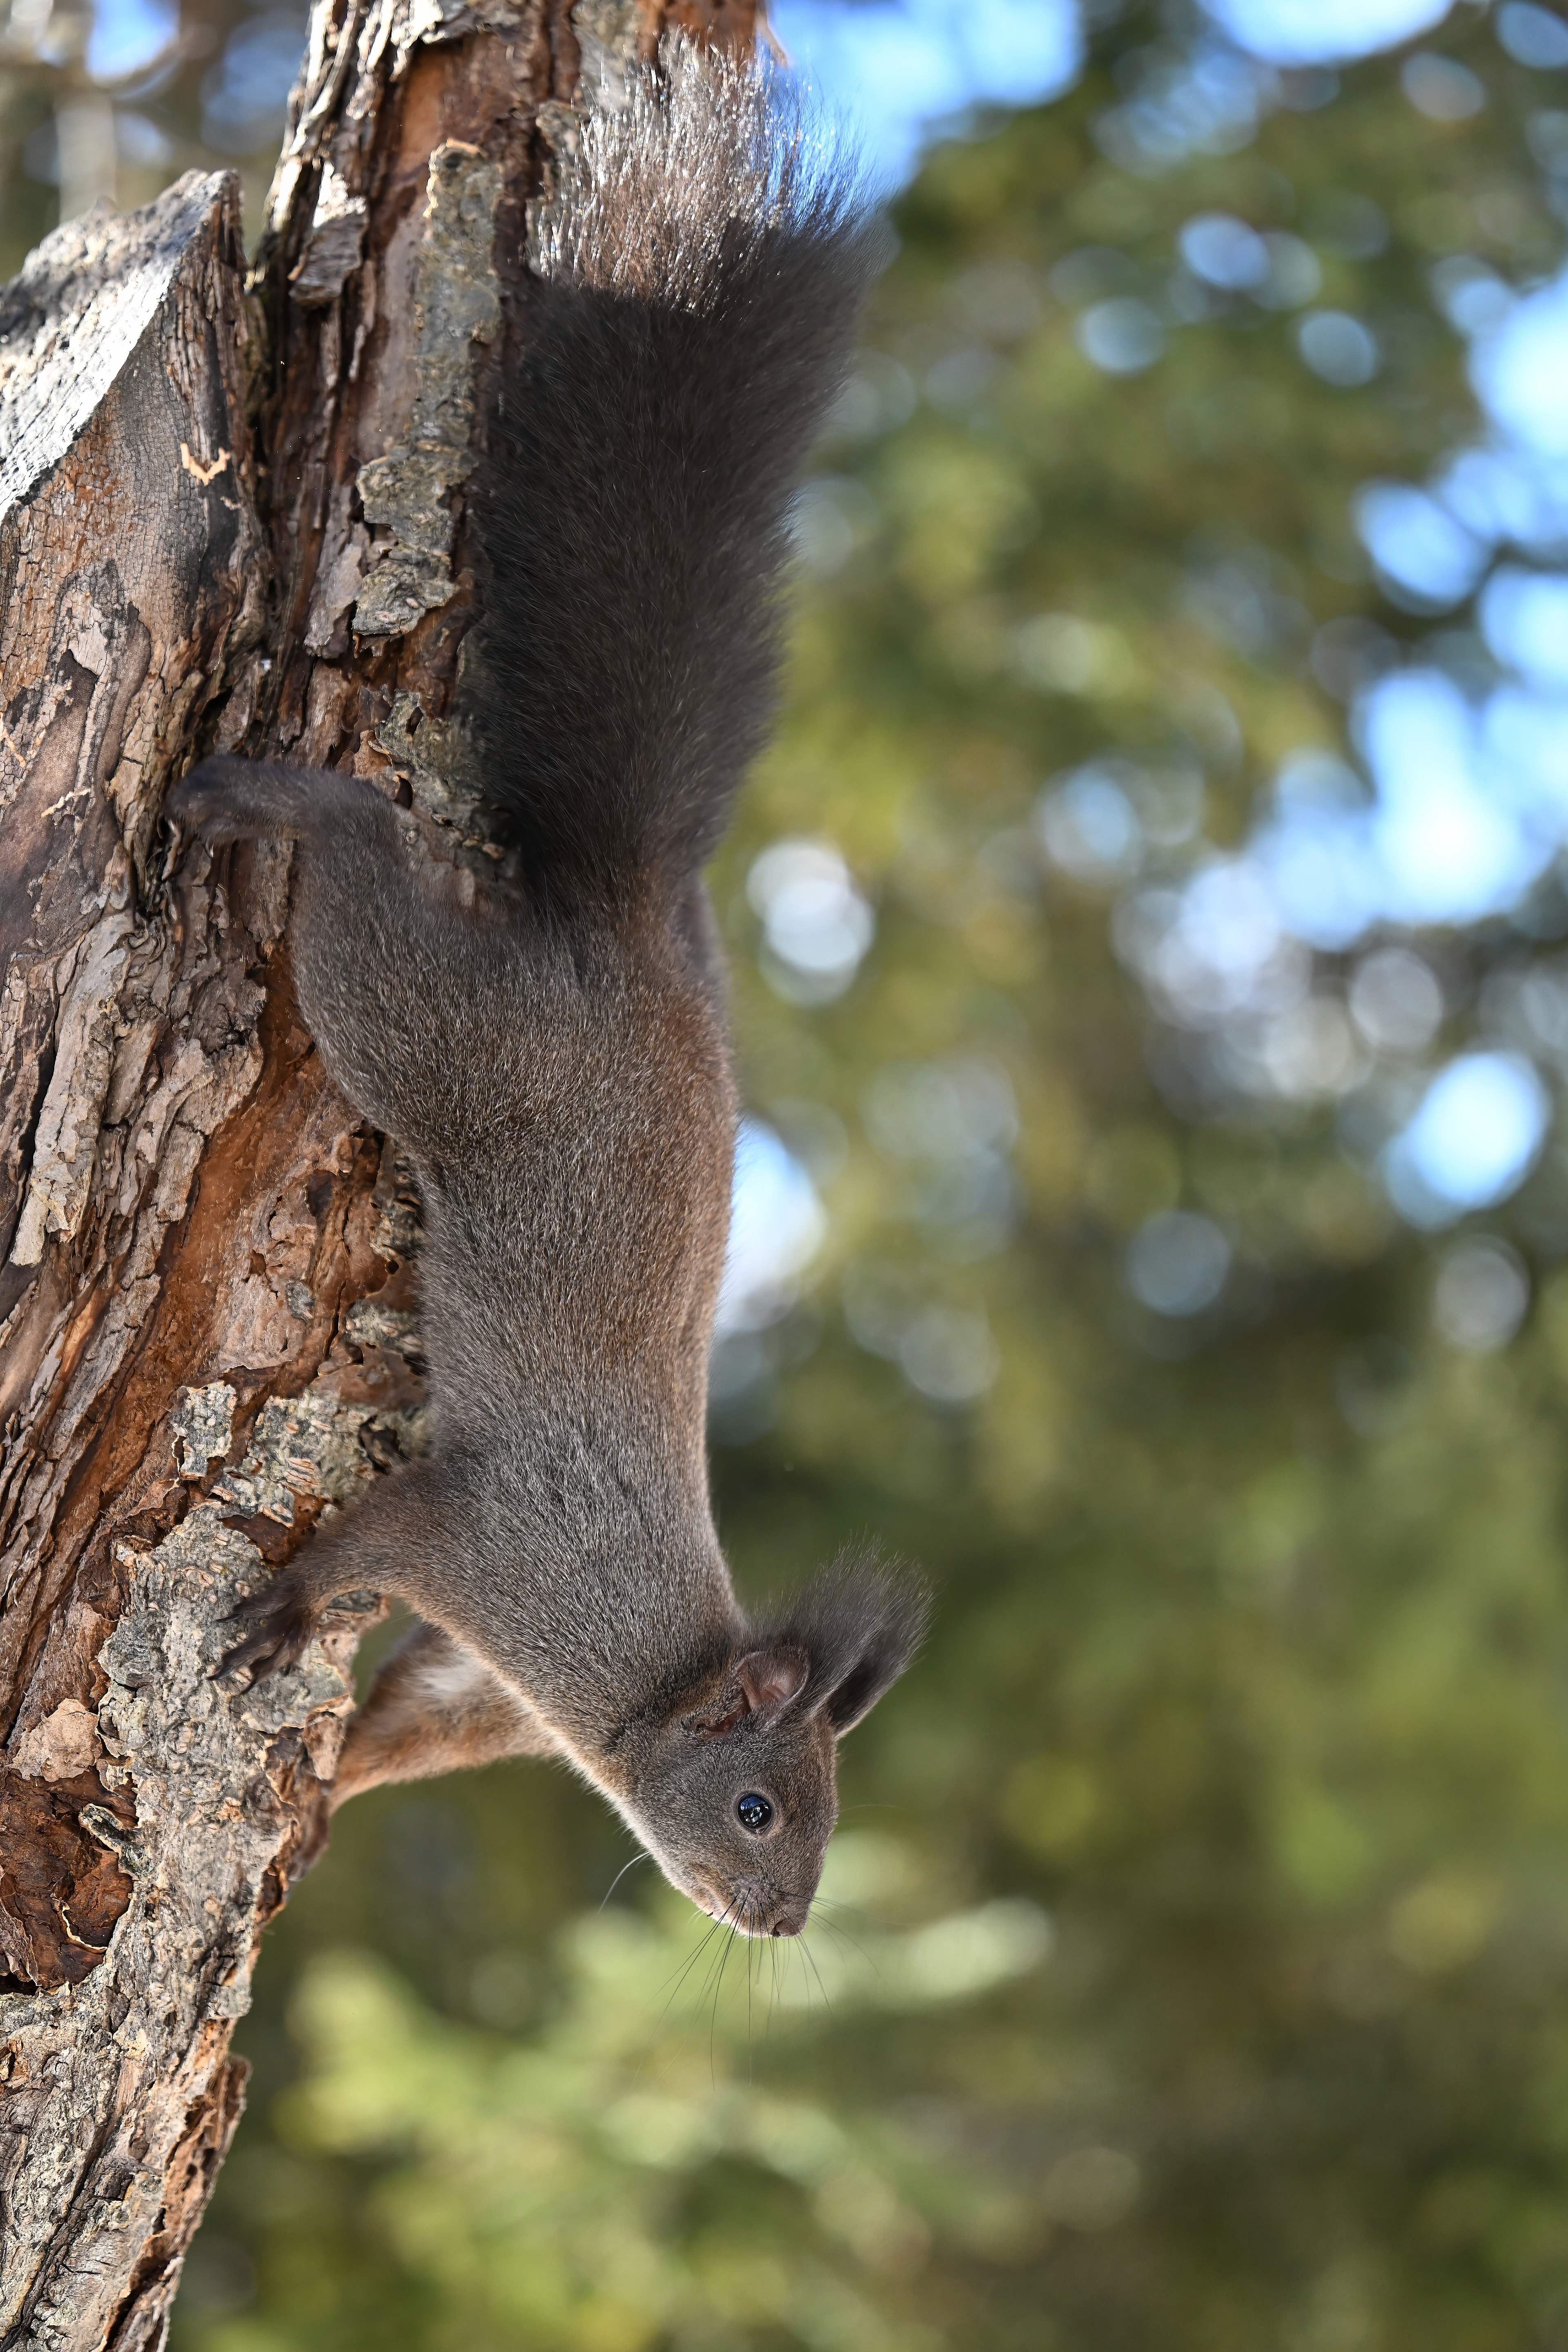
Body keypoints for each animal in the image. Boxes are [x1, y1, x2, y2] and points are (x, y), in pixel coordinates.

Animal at [171, 50, 928, 1940]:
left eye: (818, 1824)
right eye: (757, 1805)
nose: (786, 1923)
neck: (641, 1680)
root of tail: (637, 931)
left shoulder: (480, 1688)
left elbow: (405, 1720)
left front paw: (333, 1781)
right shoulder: (500, 1549)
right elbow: (381, 1539)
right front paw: (284, 1606)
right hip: (439, 1032)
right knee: (362, 873)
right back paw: (267, 802)